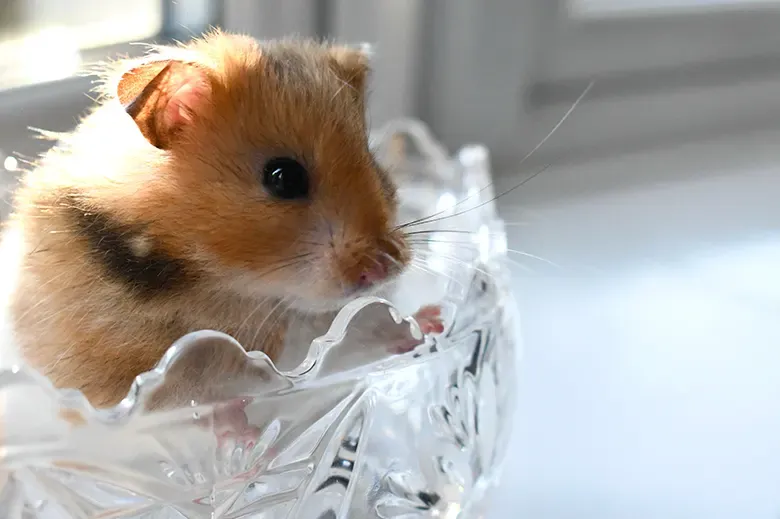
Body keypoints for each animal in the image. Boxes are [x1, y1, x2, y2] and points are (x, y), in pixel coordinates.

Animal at [0, 31, 443, 410]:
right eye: (283, 178)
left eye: (372, 159)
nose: (387, 266)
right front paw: (237, 431)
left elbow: (364, 322)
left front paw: (431, 320)